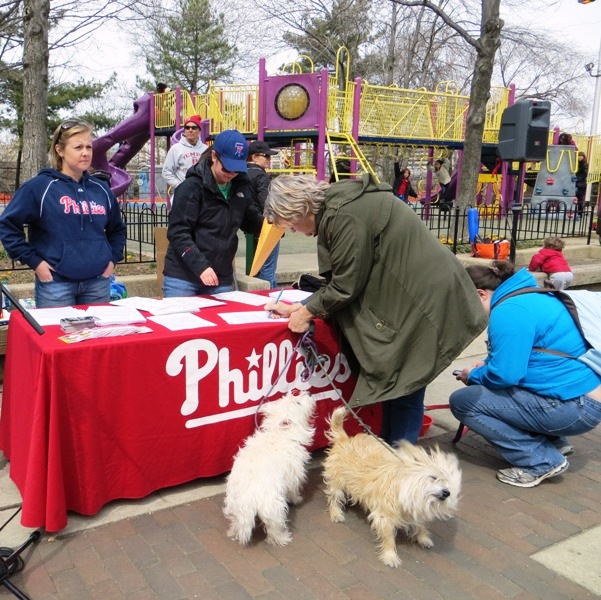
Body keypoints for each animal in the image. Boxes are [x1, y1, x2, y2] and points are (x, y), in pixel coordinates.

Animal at [223, 392, 316, 548]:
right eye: (297, 403)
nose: (308, 393)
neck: (279, 433)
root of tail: (247, 499)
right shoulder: (293, 475)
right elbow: (293, 490)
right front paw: (297, 499)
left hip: (234, 508)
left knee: (236, 523)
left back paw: (232, 532)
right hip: (273, 506)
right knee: (274, 527)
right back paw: (283, 538)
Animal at [324, 408, 460, 568]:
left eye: (448, 480)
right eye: (433, 477)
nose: (447, 493)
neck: (404, 489)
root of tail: (344, 439)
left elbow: (420, 525)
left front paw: (423, 538)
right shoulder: (384, 517)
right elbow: (389, 537)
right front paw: (390, 556)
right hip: (336, 483)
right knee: (334, 498)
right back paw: (336, 514)